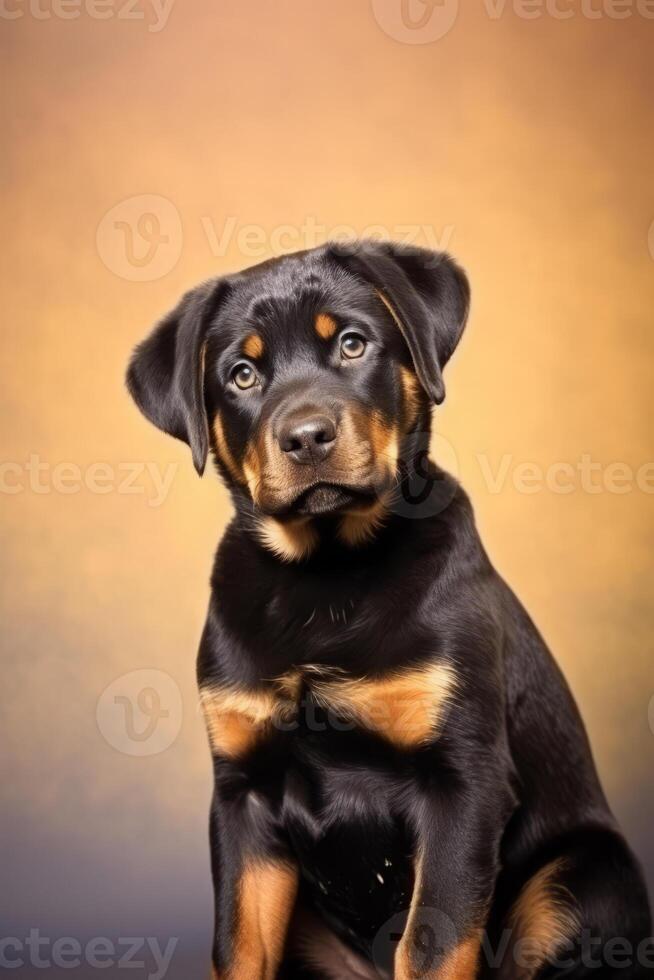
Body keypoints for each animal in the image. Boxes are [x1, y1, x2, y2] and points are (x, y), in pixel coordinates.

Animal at [127, 243, 652, 980]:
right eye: (241, 374)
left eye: (352, 343)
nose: (306, 437)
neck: (324, 575)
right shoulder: (242, 795)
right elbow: (239, 948)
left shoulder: (463, 783)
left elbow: (430, 946)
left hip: (575, 879)